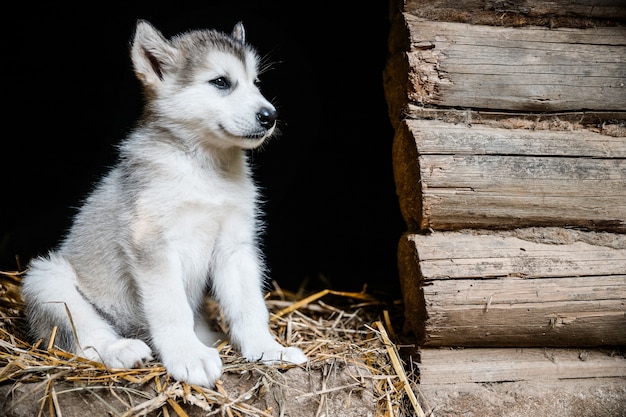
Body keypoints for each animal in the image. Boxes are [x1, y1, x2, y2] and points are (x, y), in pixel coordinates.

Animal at [22, 17, 308, 386]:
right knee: (84, 336)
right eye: (221, 82)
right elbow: (171, 308)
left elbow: (249, 307)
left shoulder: (235, 246)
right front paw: (188, 356)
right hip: (47, 278)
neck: (205, 170)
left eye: (256, 82)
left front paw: (267, 349)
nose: (269, 116)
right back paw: (122, 350)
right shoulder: (151, 243)